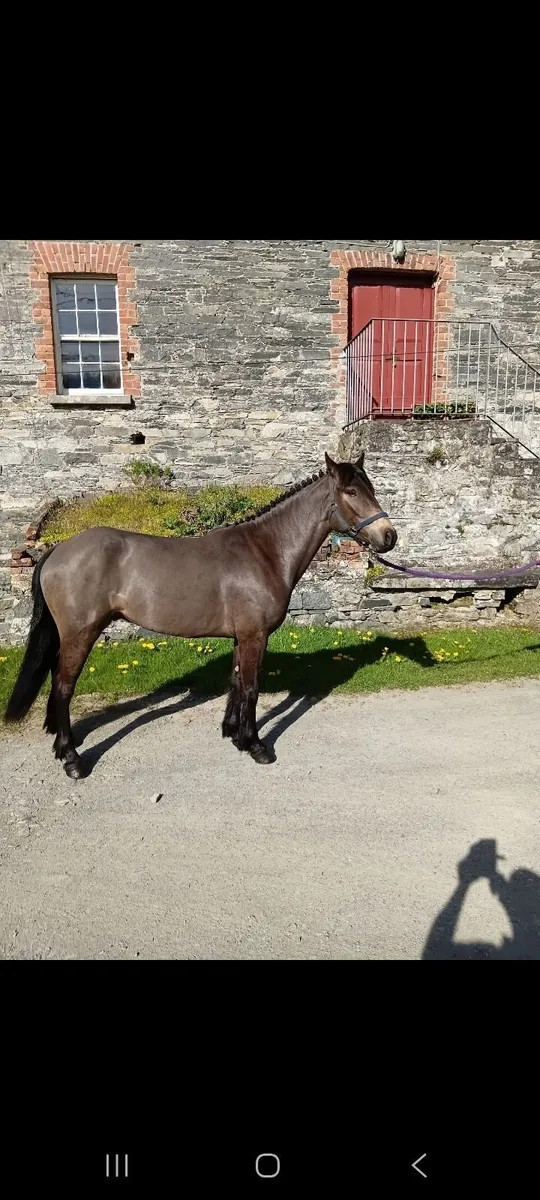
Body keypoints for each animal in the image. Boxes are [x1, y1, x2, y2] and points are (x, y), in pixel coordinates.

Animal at [4, 452, 397, 777]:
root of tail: (59, 548)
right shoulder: (255, 635)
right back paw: (72, 760)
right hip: (81, 633)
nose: (389, 536)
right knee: (63, 685)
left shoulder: (242, 636)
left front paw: (234, 735)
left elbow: (236, 683)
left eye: (371, 488)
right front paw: (257, 746)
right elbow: (251, 687)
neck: (266, 552)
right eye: (351, 491)